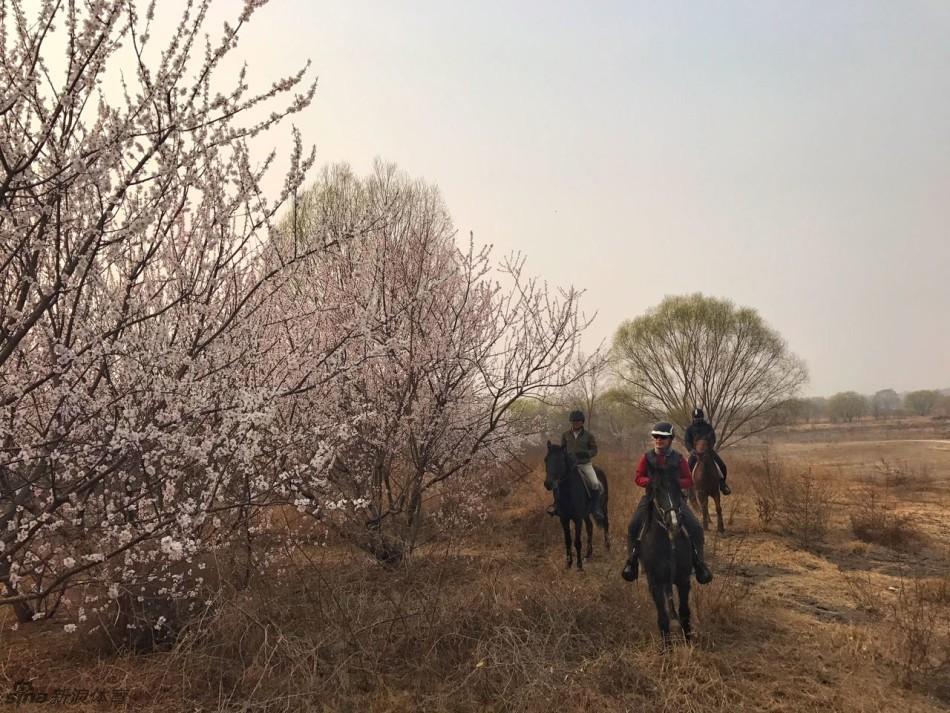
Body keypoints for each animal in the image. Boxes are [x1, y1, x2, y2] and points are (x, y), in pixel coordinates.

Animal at [544, 442, 608, 572]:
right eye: (546, 460)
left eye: (560, 460)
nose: (548, 484)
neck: (568, 492)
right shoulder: (564, 519)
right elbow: (568, 541)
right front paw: (568, 564)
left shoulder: (577, 519)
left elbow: (577, 542)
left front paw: (579, 566)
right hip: (586, 514)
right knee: (590, 527)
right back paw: (588, 555)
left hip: (603, 507)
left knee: (606, 523)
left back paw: (607, 548)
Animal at [640, 464, 692, 644]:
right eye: (656, 490)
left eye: (678, 488)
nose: (674, 523)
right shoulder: (655, 582)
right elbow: (662, 617)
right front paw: (666, 646)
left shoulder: (683, 579)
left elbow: (684, 611)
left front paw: (689, 641)